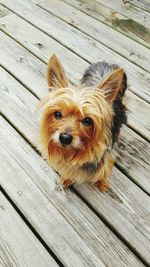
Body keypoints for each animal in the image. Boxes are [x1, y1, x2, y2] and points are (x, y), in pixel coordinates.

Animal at [37, 55, 126, 193]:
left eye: (87, 121)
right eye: (57, 114)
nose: (65, 138)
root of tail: (107, 64)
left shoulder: (104, 156)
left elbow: (104, 169)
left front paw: (102, 182)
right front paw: (66, 179)